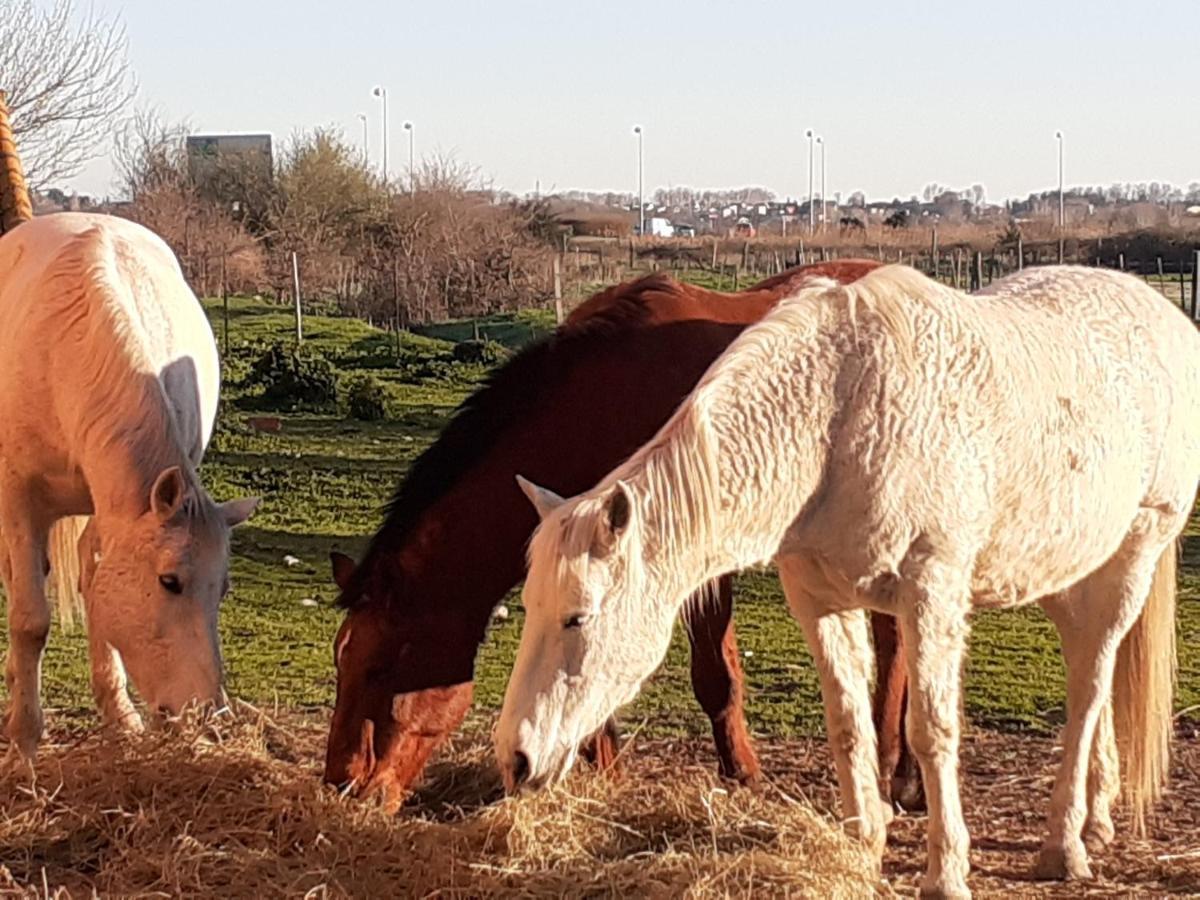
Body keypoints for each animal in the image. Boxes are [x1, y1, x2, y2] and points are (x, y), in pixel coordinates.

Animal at [0, 214, 258, 758]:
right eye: (169, 581)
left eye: (223, 588)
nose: (206, 714)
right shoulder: (18, 501)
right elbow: (30, 619)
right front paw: (25, 738)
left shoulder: (115, 512)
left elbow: (96, 590)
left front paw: (120, 716)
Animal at [321, 259, 916, 811]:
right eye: (340, 661)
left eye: (379, 667)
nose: (342, 785)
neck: (604, 403)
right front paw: (601, 771)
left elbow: (713, 676)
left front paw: (741, 774)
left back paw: (894, 770)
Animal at [492, 266, 1195, 900]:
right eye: (528, 607)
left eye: (578, 617)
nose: (515, 759)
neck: (837, 416)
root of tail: (1164, 314)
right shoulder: (820, 600)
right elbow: (849, 723)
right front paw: (862, 844)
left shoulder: (930, 592)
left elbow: (930, 729)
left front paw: (946, 873)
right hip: (1062, 573)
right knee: (1089, 669)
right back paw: (1095, 818)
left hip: (1135, 553)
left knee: (1090, 688)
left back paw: (1063, 845)